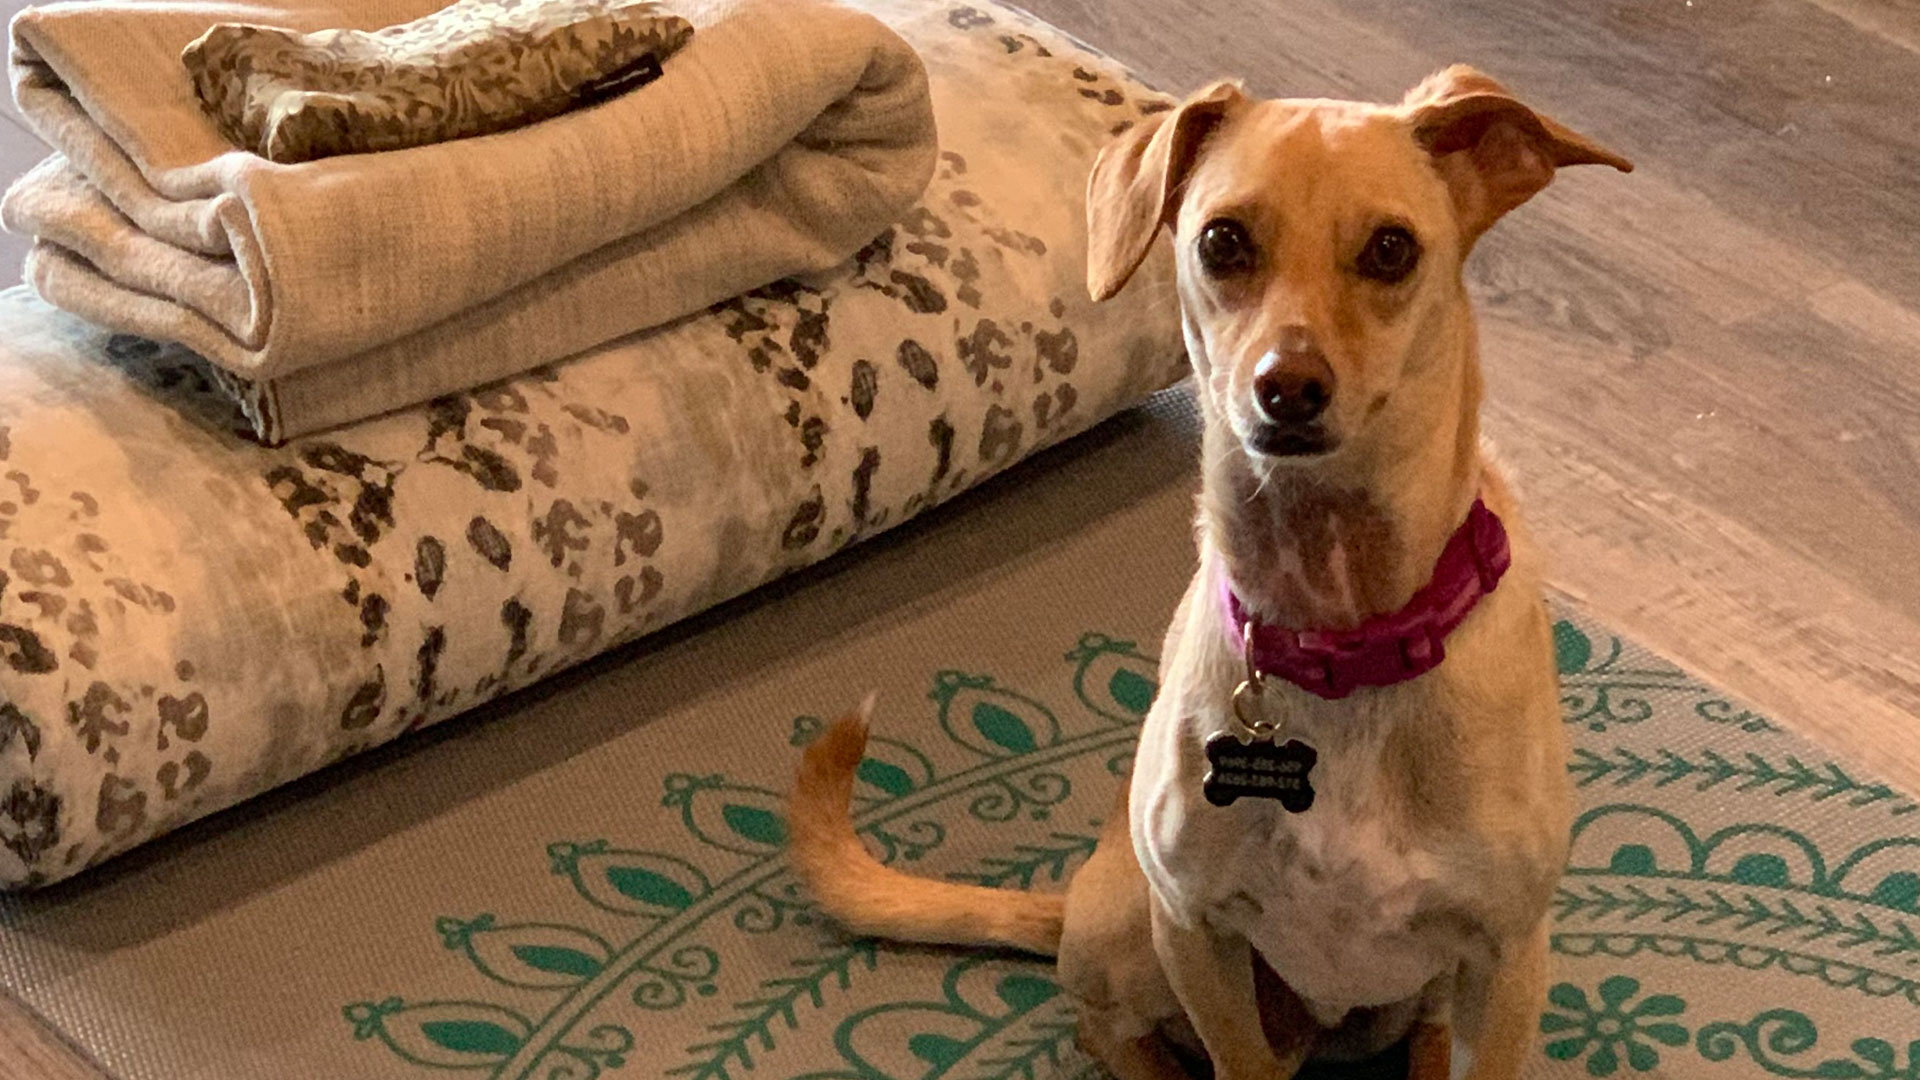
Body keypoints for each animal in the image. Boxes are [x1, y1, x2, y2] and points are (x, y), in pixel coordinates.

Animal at [786, 65, 1631, 1080]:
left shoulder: (1506, 960)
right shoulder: (1196, 928)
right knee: (1105, 1024)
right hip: (1130, 928)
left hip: (1427, 987)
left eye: (1392, 249)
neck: (1337, 628)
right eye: (1222, 241)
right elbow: (1240, 1061)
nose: (1288, 387)